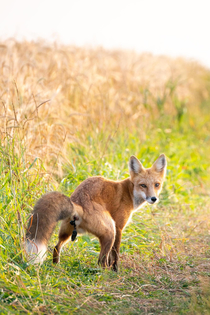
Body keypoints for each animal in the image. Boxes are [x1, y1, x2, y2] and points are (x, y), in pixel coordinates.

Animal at [26, 156, 167, 272]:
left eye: (157, 185)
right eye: (143, 185)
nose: (153, 199)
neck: (128, 192)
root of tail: (77, 203)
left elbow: (111, 257)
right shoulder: (119, 227)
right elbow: (115, 254)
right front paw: (115, 270)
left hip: (67, 232)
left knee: (56, 247)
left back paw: (56, 266)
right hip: (110, 231)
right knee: (101, 262)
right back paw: (106, 274)